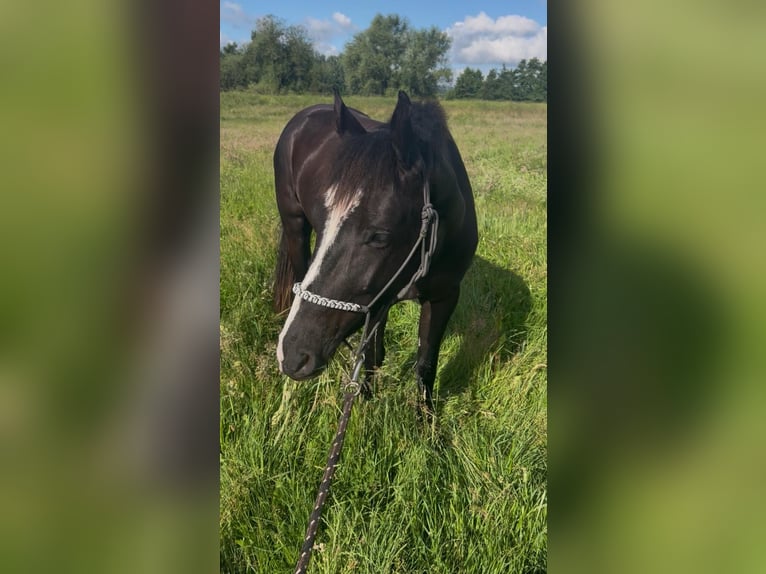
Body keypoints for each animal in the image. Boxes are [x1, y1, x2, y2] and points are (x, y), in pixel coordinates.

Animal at [273, 90, 478, 409]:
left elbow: (425, 364)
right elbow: (369, 355)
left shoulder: (441, 296)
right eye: (321, 223)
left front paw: (426, 421)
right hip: (294, 226)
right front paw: (365, 403)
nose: (293, 356)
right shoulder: (375, 299)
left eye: (380, 236)